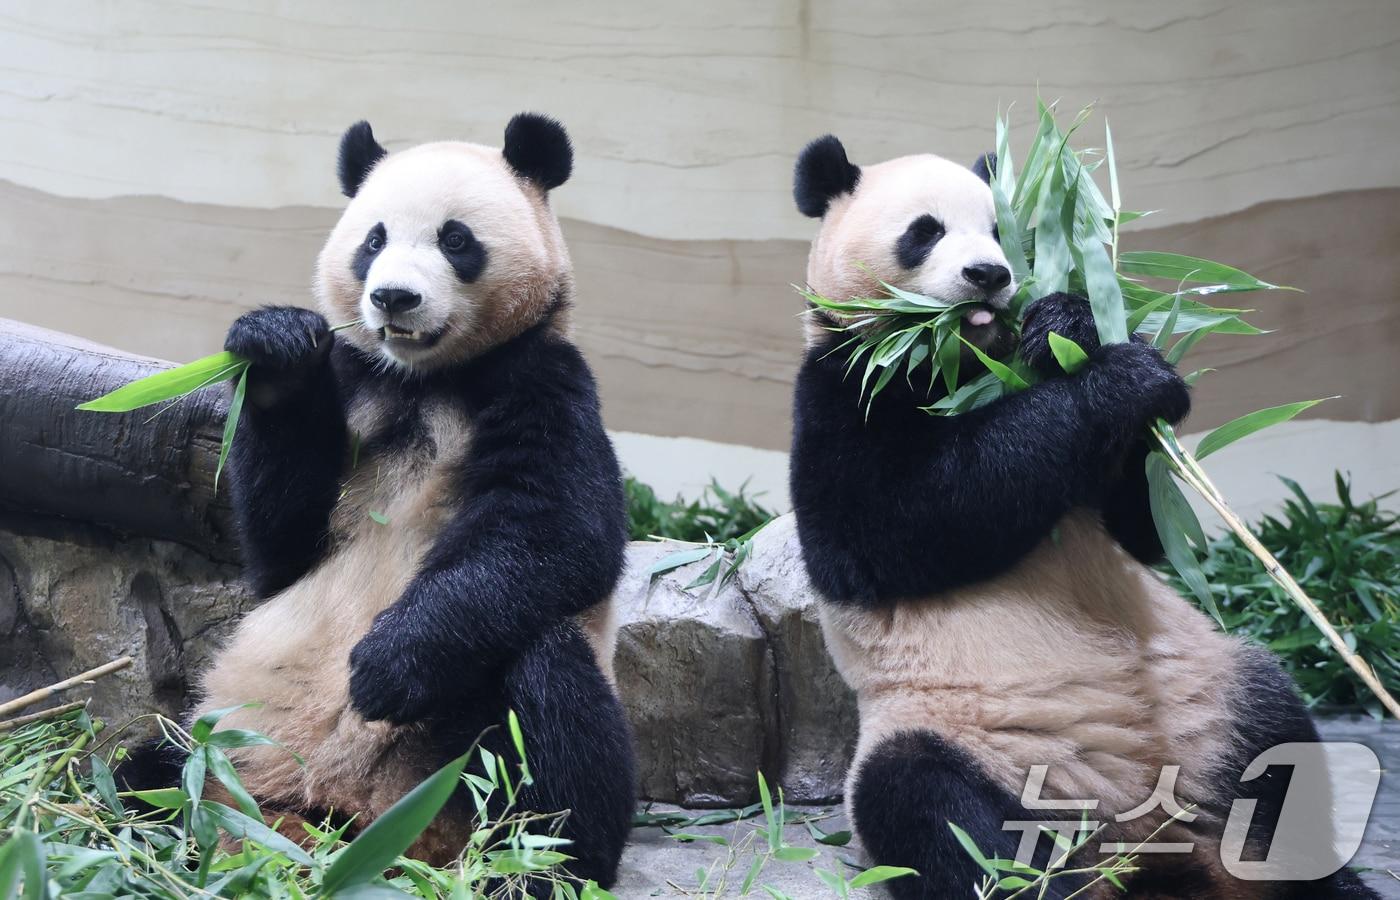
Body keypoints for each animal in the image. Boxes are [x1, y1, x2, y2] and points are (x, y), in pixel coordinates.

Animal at [184, 114, 635, 886]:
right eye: (374, 240)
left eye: (456, 239)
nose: (393, 297)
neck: (426, 380)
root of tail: (365, 825)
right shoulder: (357, 384)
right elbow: (280, 549)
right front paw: (276, 348)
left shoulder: (542, 381)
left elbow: (558, 531)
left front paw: (384, 668)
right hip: (232, 749)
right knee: (151, 771)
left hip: (470, 766)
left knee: (549, 684)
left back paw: (545, 867)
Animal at [788, 135, 1379, 899]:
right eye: (925, 232)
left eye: (1004, 228)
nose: (989, 274)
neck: (961, 359)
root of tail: (1135, 836)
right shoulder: (846, 383)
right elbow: (891, 531)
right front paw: (1115, 381)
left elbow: (1147, 529)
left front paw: (1075, 324)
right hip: (958, 735)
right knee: (941, 813)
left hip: (1211, 694)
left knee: (1276, 752)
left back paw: (1320, 880)